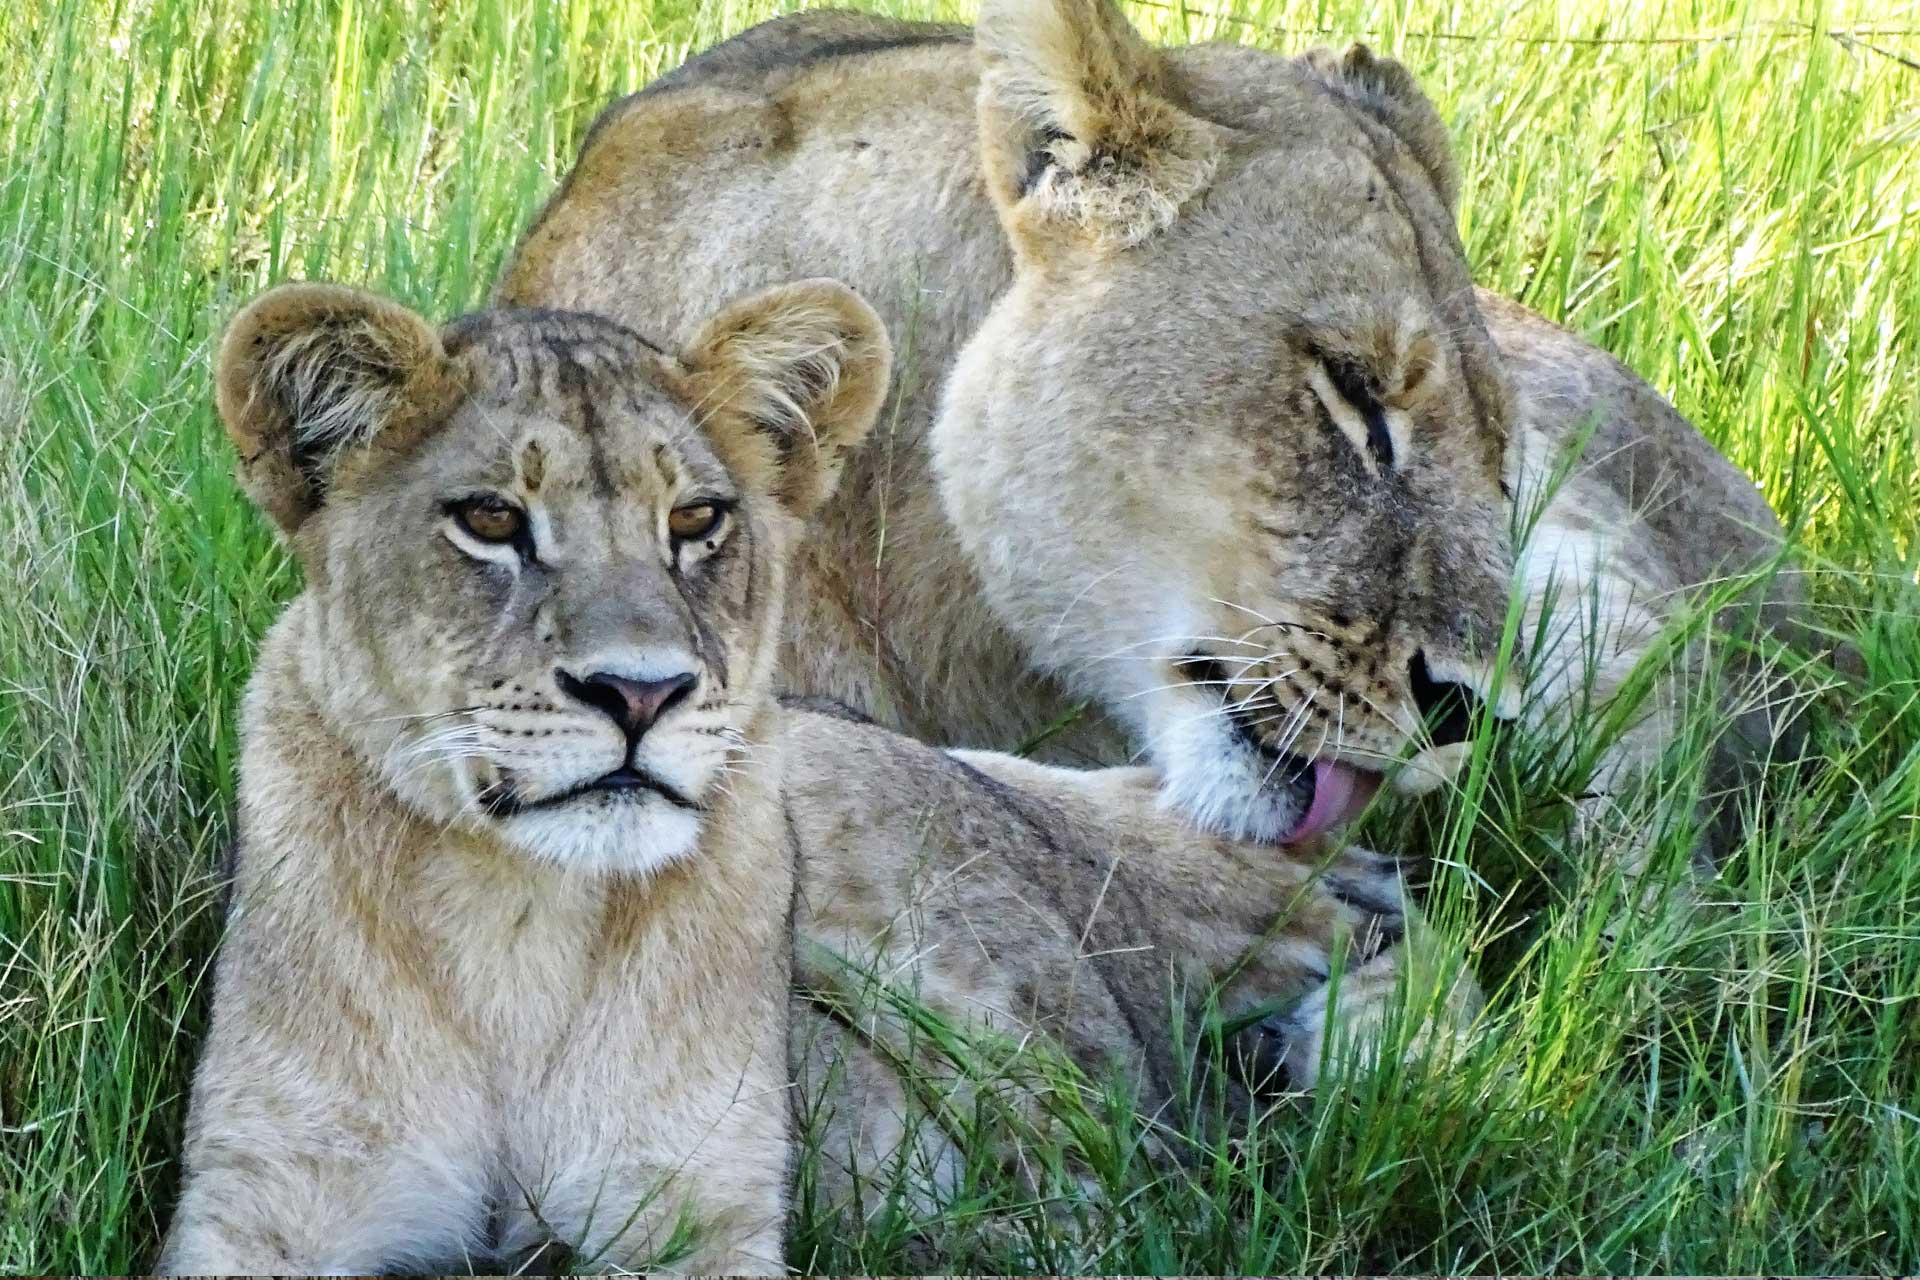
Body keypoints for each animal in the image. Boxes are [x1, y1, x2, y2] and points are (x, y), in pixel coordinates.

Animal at [163, 276, 1441, 1272]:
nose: (640, 692)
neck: (517, 914)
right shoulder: (263, 1195)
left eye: (698, 520)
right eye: (488, 517)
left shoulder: (695, 1200)